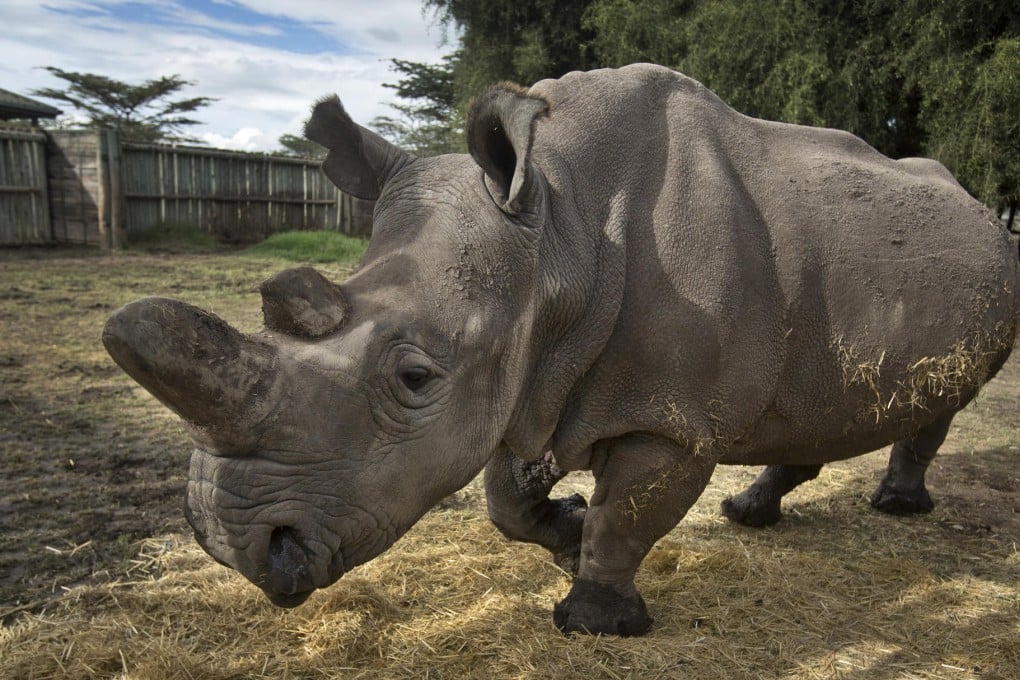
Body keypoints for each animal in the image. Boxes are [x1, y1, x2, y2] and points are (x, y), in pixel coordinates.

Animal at [103, 64, 1018, 636]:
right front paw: (565, 534)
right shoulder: (530, 372)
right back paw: (750, 514)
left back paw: (896, 507)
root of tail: (976, 200)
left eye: (414, 377)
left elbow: (631, 511)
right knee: (806, 408)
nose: (235, 547)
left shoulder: (668, 416)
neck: (561, 233)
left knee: (944, 401)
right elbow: (506, 501)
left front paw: (596, 619)